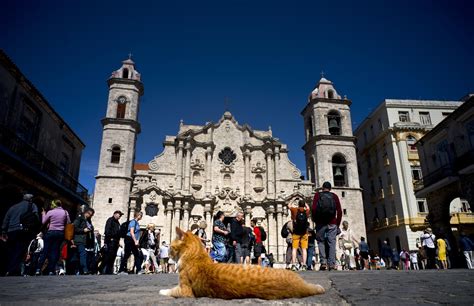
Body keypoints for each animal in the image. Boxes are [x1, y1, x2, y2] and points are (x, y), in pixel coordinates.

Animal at [159, 226, 326, 300]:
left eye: (172, 247)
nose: (169, 253)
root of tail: (299, 287)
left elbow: (170, 290)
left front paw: (162, 290)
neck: (196, 256)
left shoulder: (185, 291)